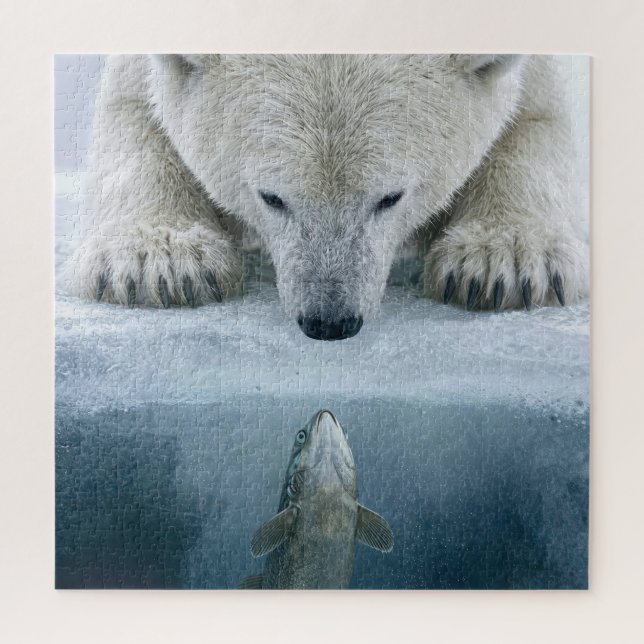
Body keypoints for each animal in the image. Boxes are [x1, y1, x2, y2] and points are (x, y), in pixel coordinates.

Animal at [67, 54, 588, 340]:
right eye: (272, 197)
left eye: (391, 197)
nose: (330, 322)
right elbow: (130, 115)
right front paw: (163, 264)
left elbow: (538, 121)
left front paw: (505, 264)